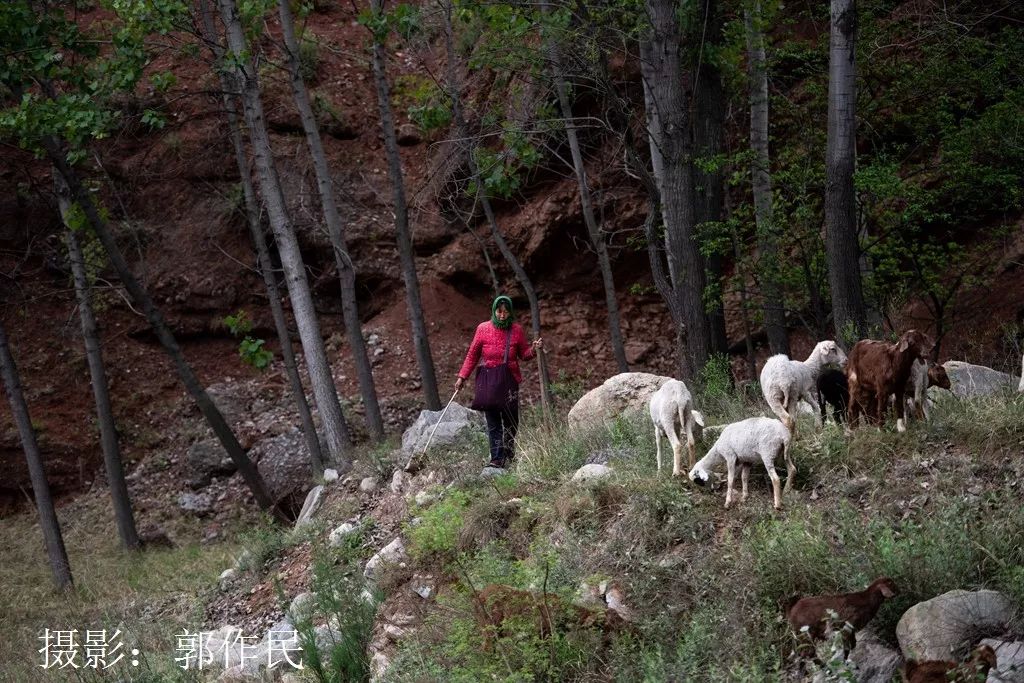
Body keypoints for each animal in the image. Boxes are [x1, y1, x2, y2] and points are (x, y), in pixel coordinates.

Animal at [468, 581, 622, 651]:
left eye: (617, 615)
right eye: (609, 622)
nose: (625, 629)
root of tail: (477, 595)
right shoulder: (540, 633)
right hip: (489, 627)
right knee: (486, 649)